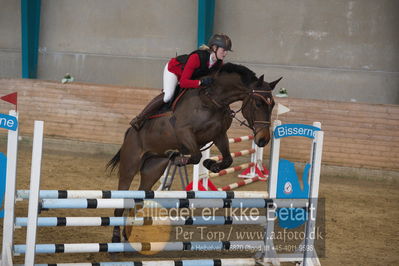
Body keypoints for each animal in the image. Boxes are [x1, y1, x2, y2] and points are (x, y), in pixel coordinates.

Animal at [106, 62, 282, 243]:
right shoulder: (184, 132)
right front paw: (179, 159)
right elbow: (196, 156)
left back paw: (127, 234)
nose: (263, 139)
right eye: (258, 104)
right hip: (130, 165)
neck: (213, 101)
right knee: (122, 200)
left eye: (272, 105)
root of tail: (129, 133)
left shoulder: (218, 135)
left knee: (137, 200)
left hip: (153, 169)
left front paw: (211, 164)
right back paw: (116, 236)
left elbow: (227, 159)